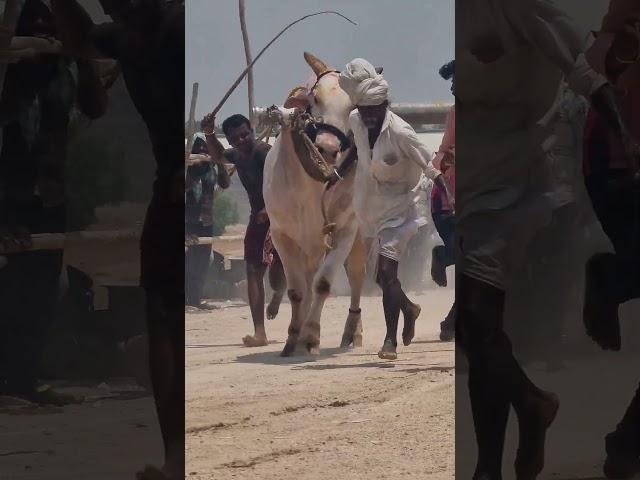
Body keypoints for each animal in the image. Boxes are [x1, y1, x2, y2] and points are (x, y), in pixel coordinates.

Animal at [264, 52, 364, 354]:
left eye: (354, 106)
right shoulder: (282, 236)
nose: (327, 148)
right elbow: (297, 290)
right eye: (315, 98)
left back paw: (352, 333)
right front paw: (292, 338)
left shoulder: (344, 231)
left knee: (357, 278)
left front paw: (310, 335)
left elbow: (322, 284)